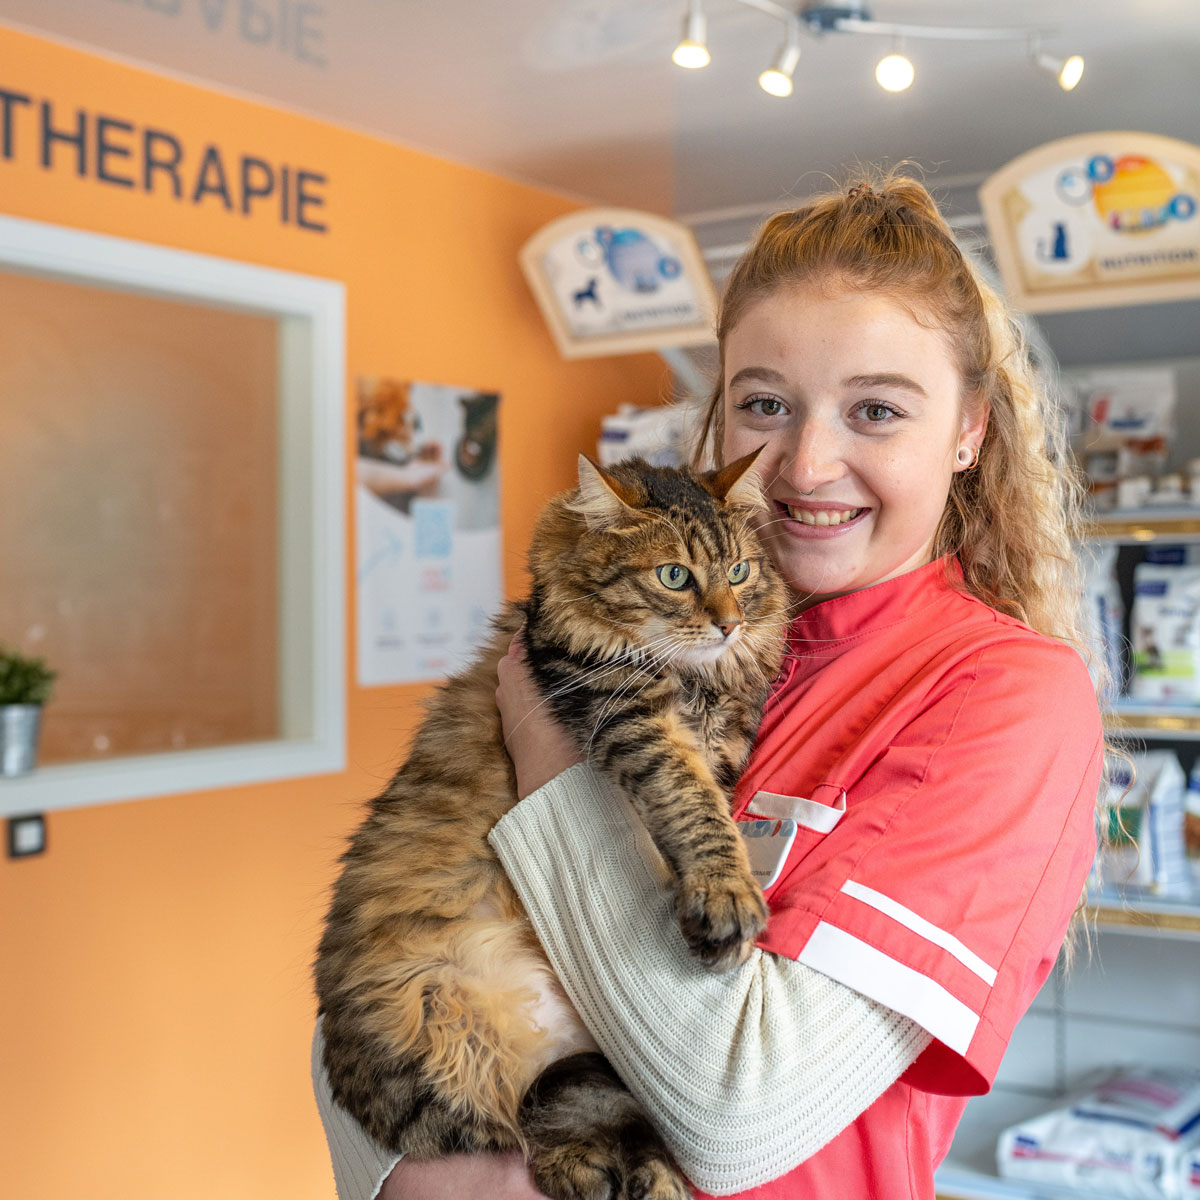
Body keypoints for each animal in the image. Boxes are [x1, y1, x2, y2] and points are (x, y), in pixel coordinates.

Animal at [315, 449, 789, 1200]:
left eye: (740, 572)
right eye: (675, 577)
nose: (729, 625)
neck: (698, 685)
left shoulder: (722, 742)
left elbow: (714, 805)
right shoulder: (627, 714)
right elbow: (696, 811)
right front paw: (727, 903)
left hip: (583, 1080)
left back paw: (644, 1179)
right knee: (532, 1145)